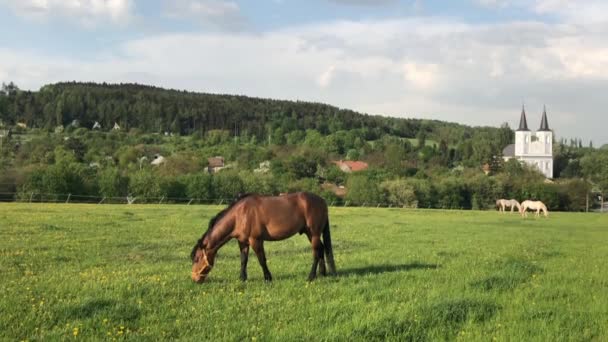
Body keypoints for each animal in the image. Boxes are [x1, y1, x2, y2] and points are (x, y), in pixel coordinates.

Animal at [191, 192, 338, 284]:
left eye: (197, 259)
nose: (195, 279)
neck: (240, 214)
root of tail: (322, 201)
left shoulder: (255, 240)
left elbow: (262, 260)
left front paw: (268, 278)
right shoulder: (243, 242)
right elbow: (243, 260)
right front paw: (242, 278)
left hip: (314, 233)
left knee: (316, 252)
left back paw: (311, 276)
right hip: (310, 234)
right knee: (321, 249)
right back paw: (322, 273)